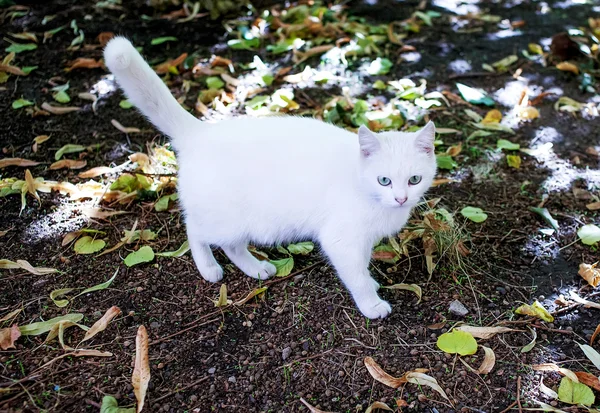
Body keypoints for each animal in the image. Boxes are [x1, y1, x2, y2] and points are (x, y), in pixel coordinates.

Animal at [104, 37, 436, 318]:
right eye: (384, 181)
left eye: (414, 179)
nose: (401, 198)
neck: (364, 188)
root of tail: (201, 132)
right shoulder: (341, 239)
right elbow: (357, 276)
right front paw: (371, 303)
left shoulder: (363, 239)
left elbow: (364, 265)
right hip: (225, 219)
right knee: (194, 230)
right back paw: (209, 268)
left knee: (232, 245)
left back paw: (256, 269)